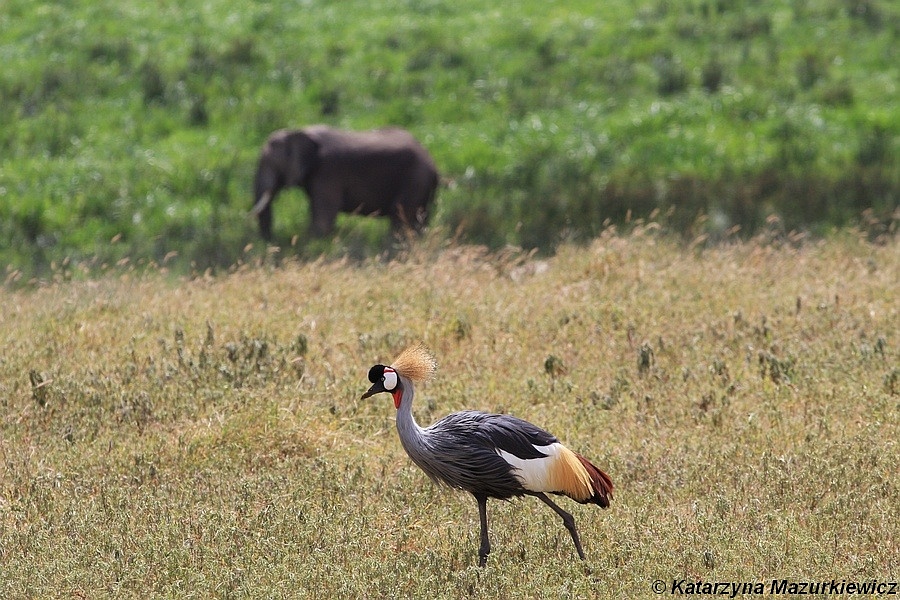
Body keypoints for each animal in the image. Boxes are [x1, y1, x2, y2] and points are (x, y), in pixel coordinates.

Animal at [250, 125, 440, 243]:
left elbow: (323, 220)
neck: (296, 131)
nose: (271, 242)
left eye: (271, 165)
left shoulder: (328, 172)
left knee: (401, 217)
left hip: (415, 179)